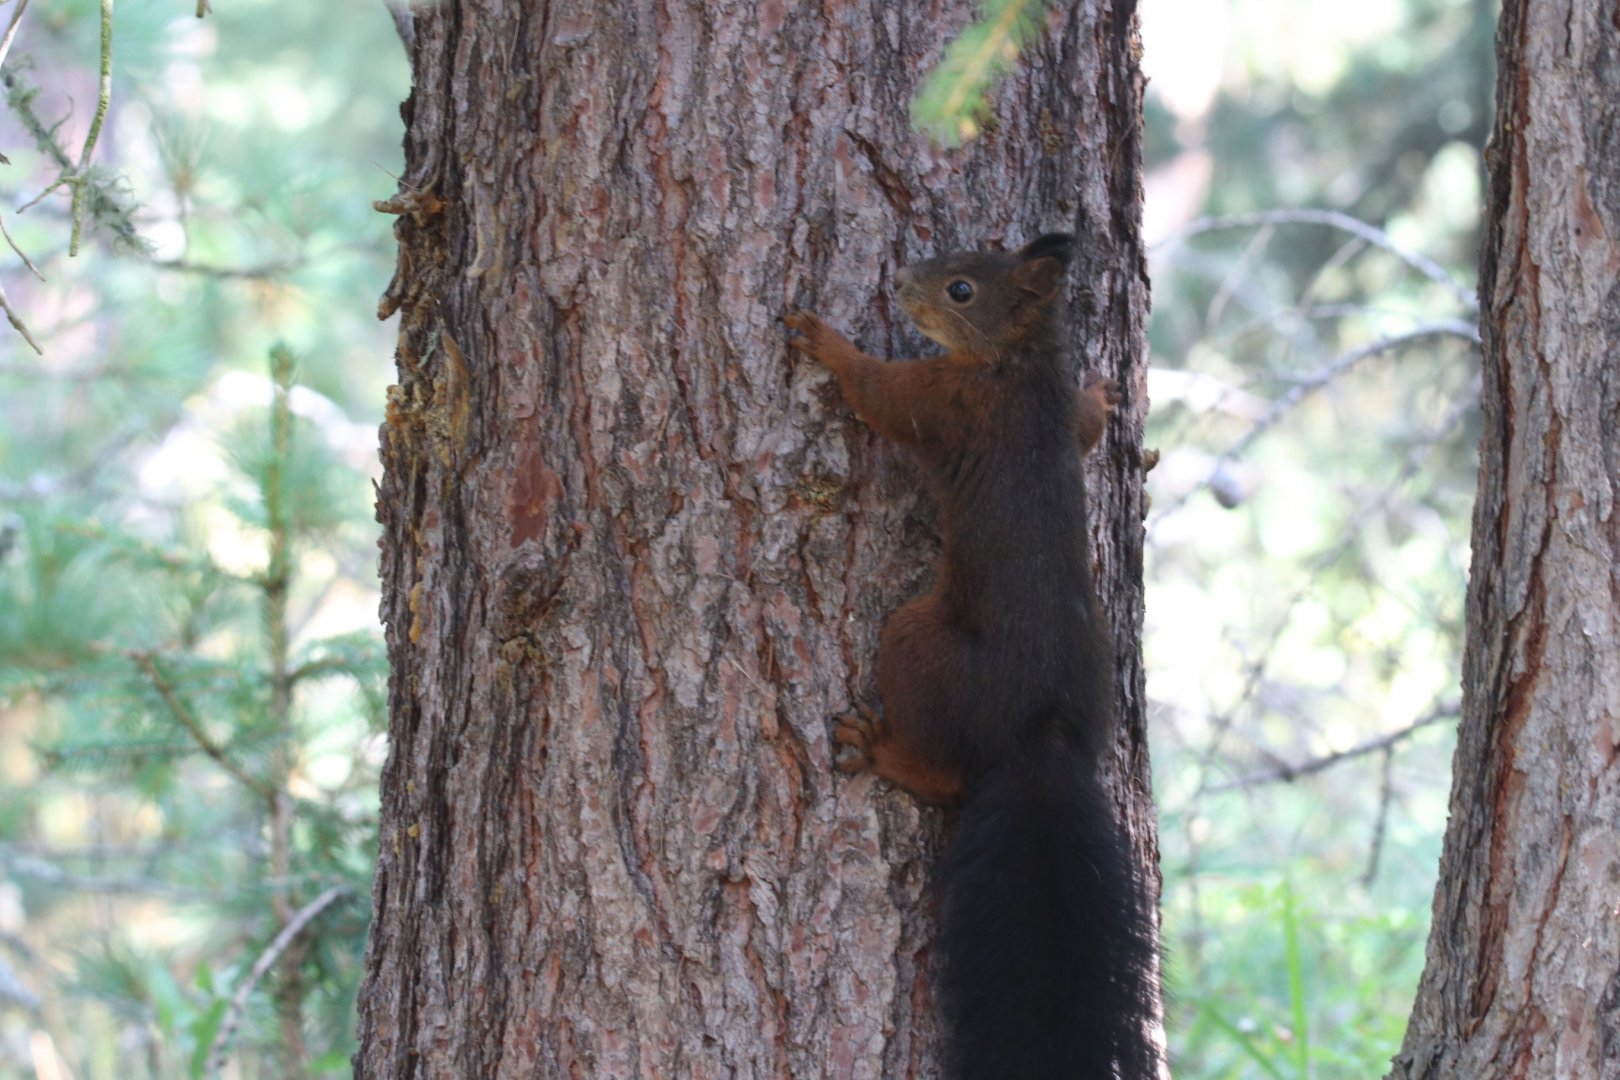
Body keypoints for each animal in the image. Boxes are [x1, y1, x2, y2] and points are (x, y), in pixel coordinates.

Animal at [786, 233, 1159, 1079]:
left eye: (961, 289)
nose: (901, 281)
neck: (1019, 365)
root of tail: (1039, 734)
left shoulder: (943, 400)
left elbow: (878, 394)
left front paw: (827, 341)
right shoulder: (1049, 414)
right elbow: (1085, 429)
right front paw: (1104, 394)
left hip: (913, 639)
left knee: (947, 776)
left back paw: (880, 751)